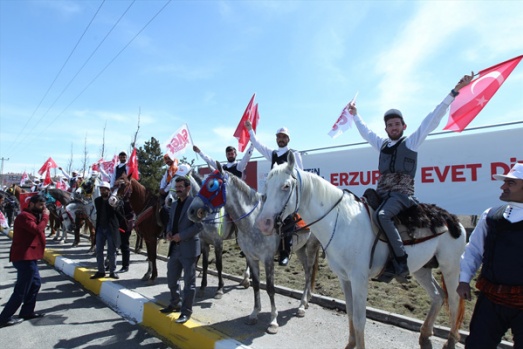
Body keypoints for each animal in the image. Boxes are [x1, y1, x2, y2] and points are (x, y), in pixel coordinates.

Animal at [256, 152, 466, 348]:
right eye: (266, 186)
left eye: (286, 186)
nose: (263, 223)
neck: (341, 223)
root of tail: (451, 219)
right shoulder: (344, 278)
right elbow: (350, 313)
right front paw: (350, 344)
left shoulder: (359, 279)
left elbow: (359, 319)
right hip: (421, 269)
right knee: (438, 296)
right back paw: (425, 335)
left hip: (450, 267)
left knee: (454, 301)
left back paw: (450, 341)